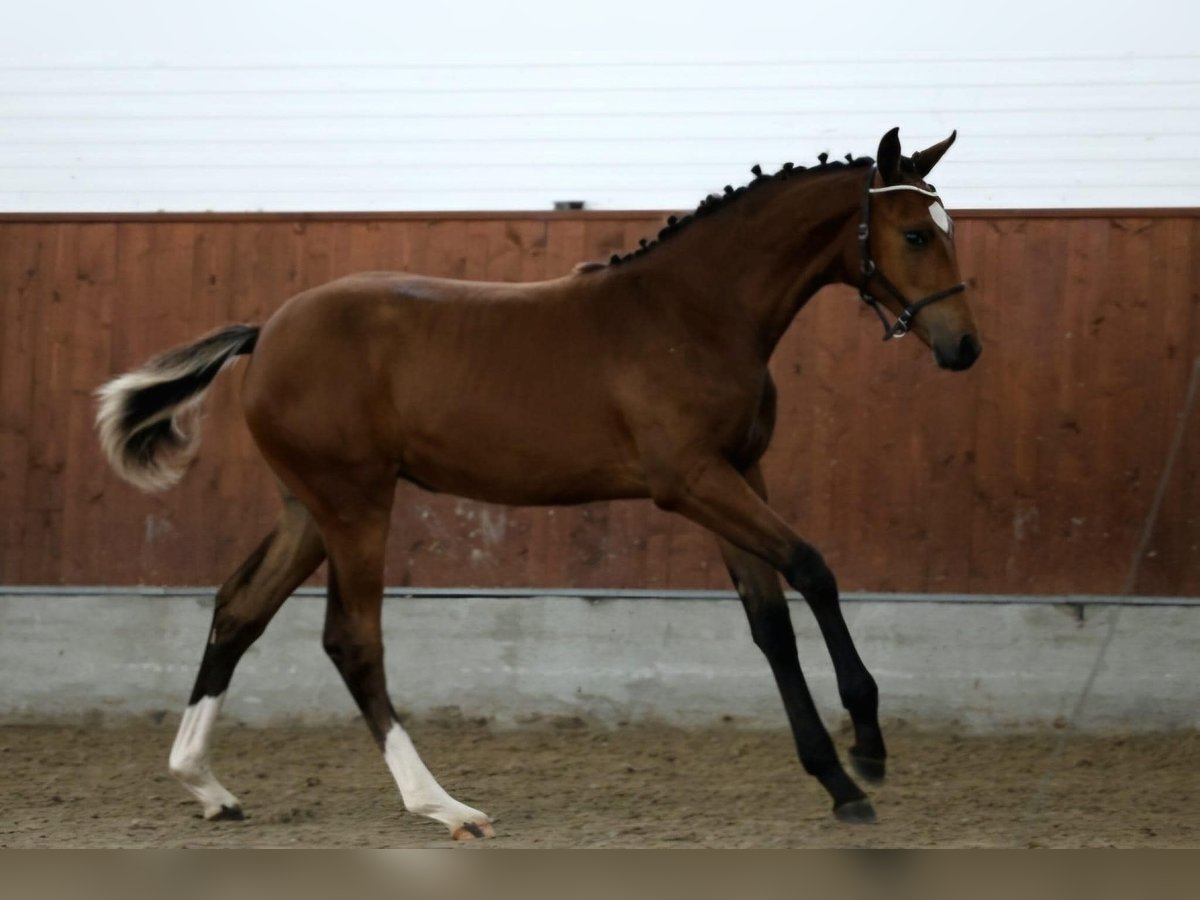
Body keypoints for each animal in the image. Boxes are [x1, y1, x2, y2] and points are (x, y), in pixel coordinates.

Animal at [93, 128, 974, 844]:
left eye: (946, 229)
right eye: (913, 232)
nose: (963, 347)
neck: (692, 313)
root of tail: (266, 331)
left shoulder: (738, 473)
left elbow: (770, 622)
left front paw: (837, 783)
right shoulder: (691, 481)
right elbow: (813, 569)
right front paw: (869, 747)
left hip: (309, 509)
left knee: (239, 608)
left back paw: (207, 786)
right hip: (355, 504)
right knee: (351, 639)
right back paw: (442, 806)